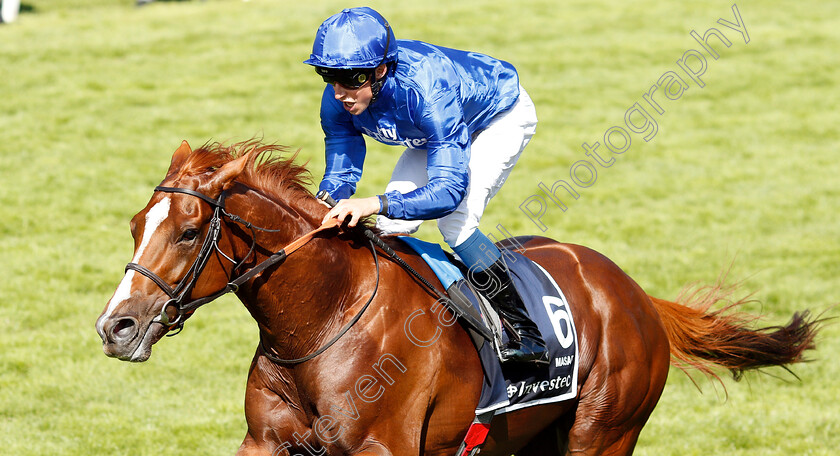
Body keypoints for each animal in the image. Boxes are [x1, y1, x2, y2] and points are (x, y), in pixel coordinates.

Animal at [97, 141, 820, 454]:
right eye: (134, 226)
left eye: (189, 231)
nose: (116, 326)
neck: (323, 321)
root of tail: (637, 295)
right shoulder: (267, 444)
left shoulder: (382, 450)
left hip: (603, 433)